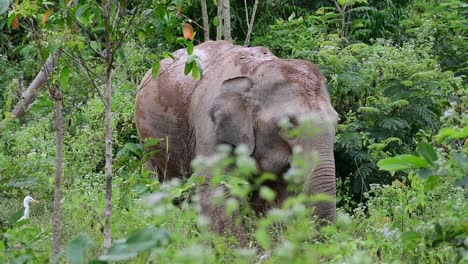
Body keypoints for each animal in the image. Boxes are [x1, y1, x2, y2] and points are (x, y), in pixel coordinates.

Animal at [134, 40, 336, 241]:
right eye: (289, 125)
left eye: (336, 120)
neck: (257, 72)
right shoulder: (210, 126)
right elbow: (215, 191)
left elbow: (274, 196)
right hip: (148, 140)